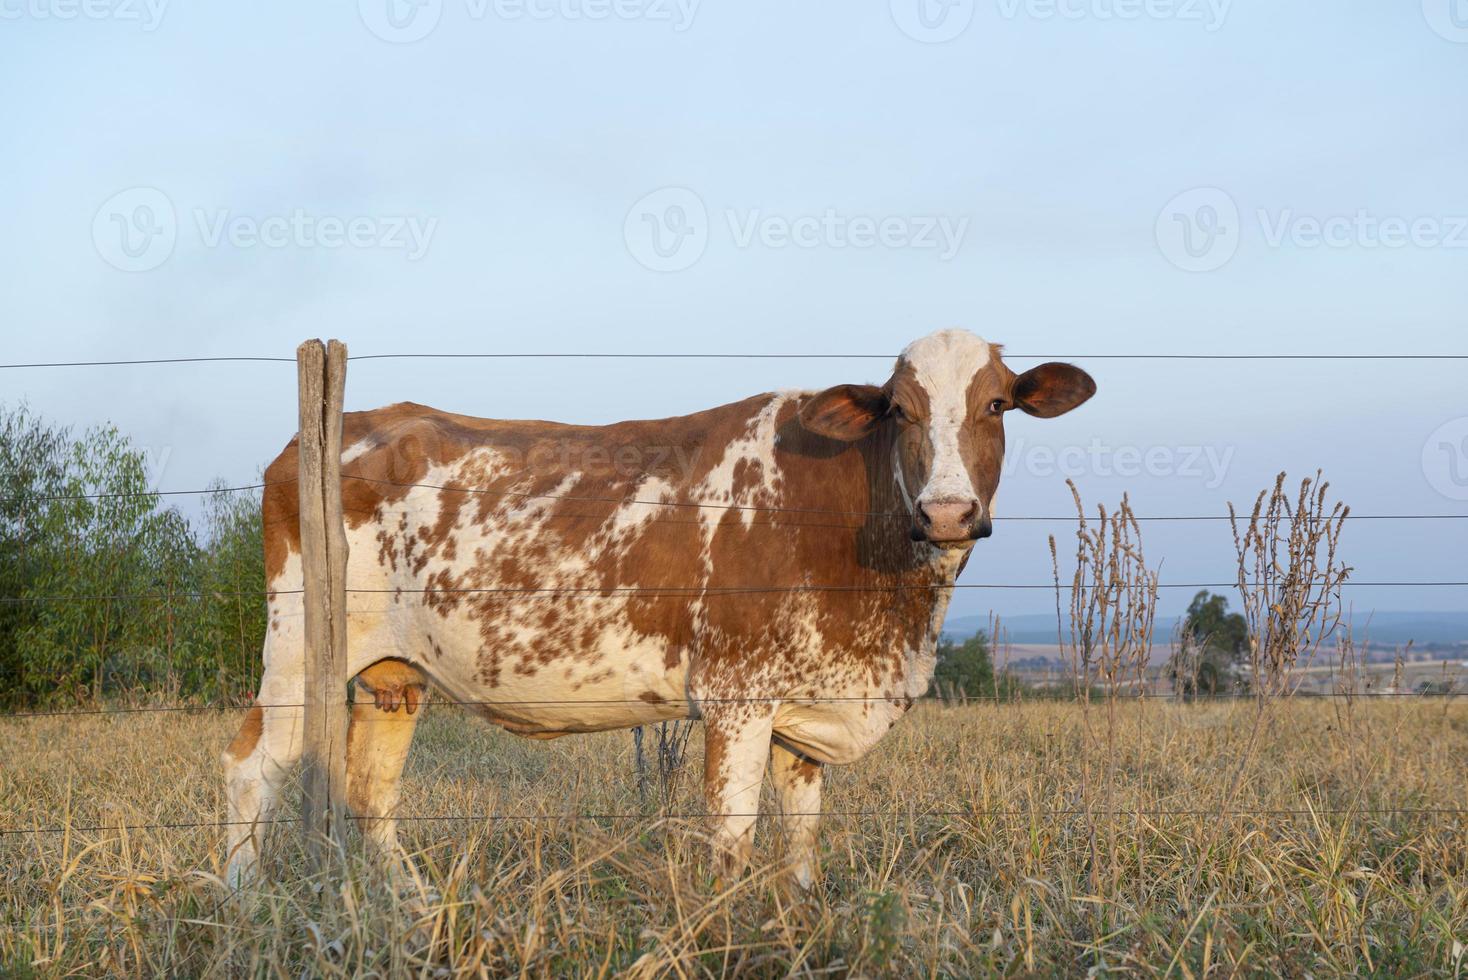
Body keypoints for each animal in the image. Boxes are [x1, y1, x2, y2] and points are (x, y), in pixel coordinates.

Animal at [223, 328, 1098, 886]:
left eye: (996, 406)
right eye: (901, 410)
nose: (947, 511)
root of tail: (343, 425)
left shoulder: (808, 705)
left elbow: (801, 849)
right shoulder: (739, 697)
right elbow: (732, 843)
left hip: (393, 675)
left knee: (370, 795)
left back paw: (413, 912)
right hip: (297, 647)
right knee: (251, 765)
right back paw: (242, 903)